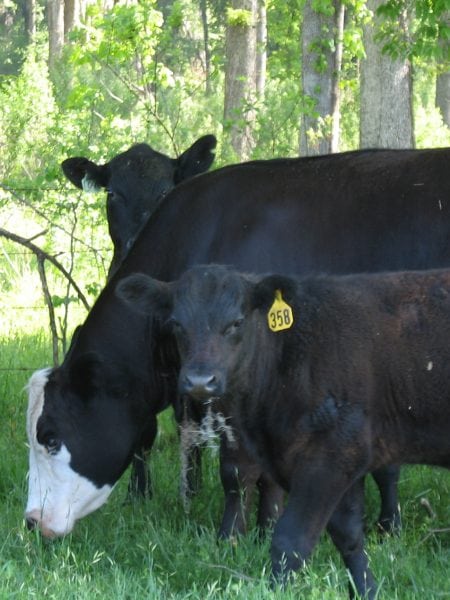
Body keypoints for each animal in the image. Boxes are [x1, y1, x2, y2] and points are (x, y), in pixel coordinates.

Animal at [118, 264, 450, 596]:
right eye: (176, 324)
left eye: (237, 322)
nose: (200, 381)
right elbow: (350, 536)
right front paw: (367, 591)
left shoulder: (331, 456)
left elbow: (290, 540)